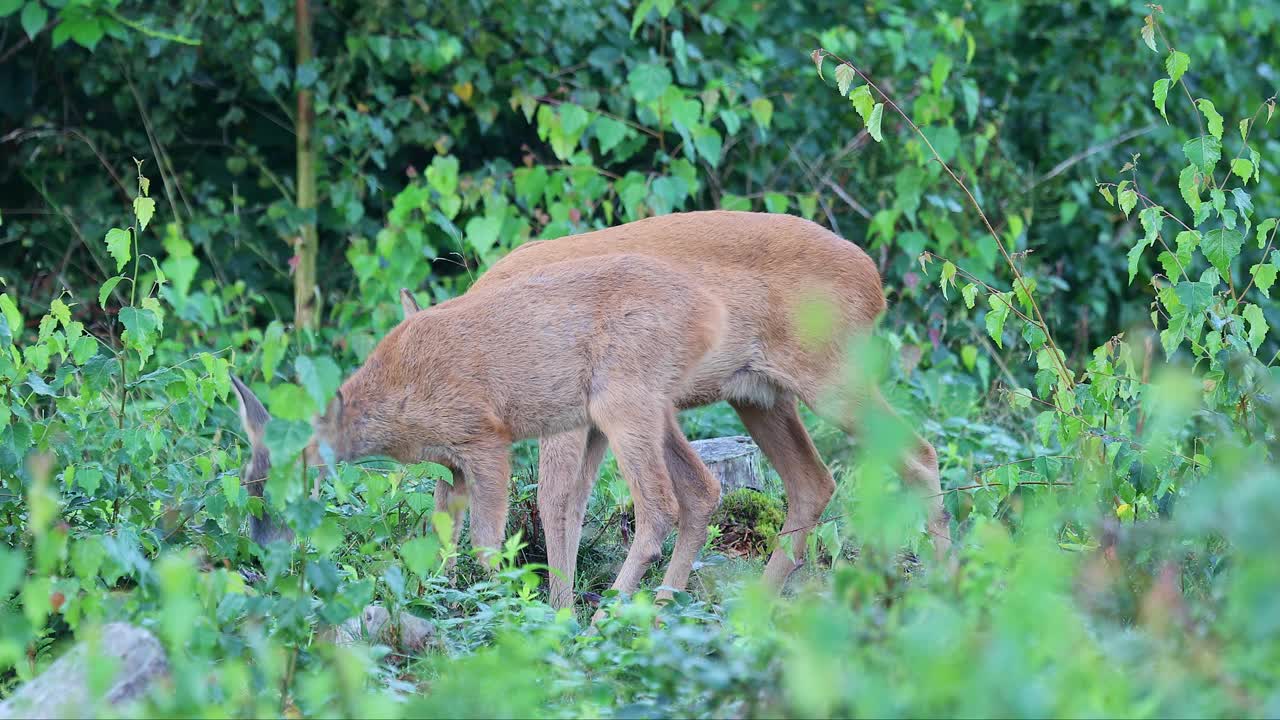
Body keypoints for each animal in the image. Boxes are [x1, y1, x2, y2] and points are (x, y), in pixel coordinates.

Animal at [232, 253, 732, 599]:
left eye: (295, 488)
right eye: (247, 482)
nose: (261, 555)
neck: (401, 396)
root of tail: (710, 311)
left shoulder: (485, 437)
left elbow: (486, 541)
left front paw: (499, 605)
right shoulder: (449, 461)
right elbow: (443, 535)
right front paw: (444, 594)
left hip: (624, 398)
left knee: (658, 505)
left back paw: (605, 614)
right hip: (651, 404)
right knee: (702, 488)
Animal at [407, 210, 952, 607]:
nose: (440, 585)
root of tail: (875, 284)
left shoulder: (564, 408)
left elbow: (554, 499)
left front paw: (555, 609)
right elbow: (575, 500)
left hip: (830, 376)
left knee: (920, 453)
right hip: (759, 396)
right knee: (812, 482)